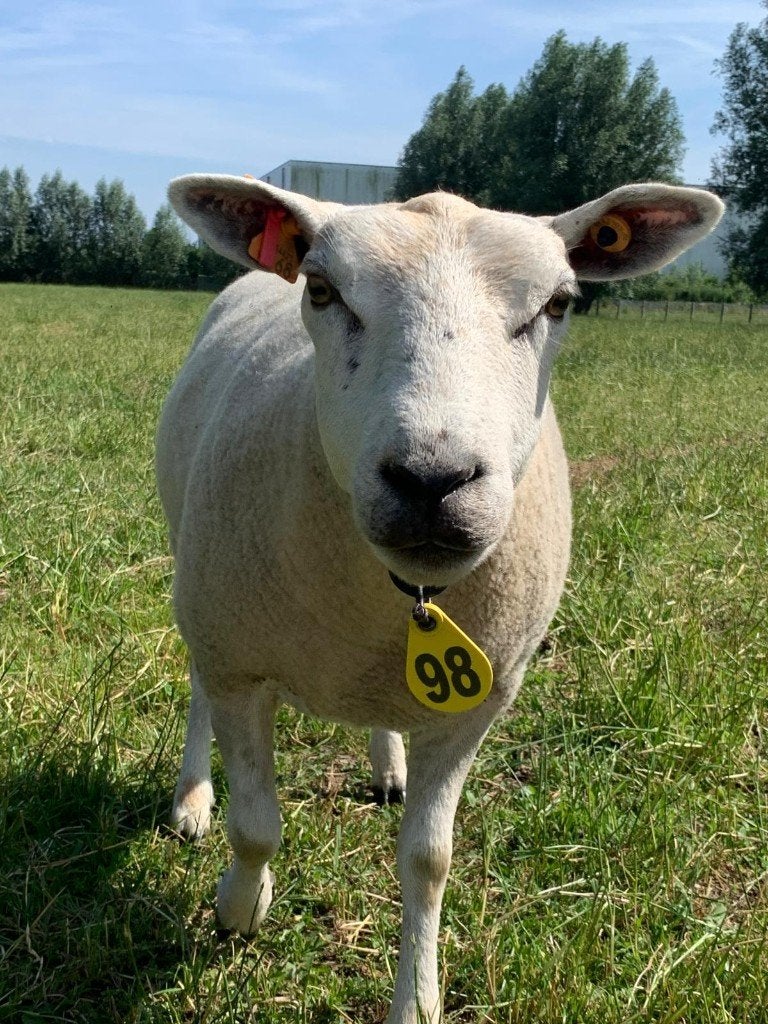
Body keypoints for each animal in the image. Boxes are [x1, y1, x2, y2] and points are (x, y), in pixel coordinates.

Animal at [158, 175, 723, 1024]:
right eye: (321, 290)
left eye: (560, 302)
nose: (432, 480)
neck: (392, 599)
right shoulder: (237, 661)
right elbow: (255, 827)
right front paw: (237, 911)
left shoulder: (479, 702)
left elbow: (429, 859)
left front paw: (418, 999)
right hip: (198, 582)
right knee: (194, 690)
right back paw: (192, 802)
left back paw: (387, 765)